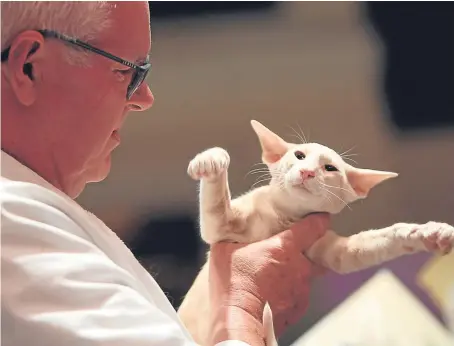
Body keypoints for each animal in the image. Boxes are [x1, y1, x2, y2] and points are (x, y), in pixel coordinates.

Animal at [178, 119, 454, 346]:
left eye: (330, 168)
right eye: (299, 155)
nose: (307, 171)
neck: (285, 218)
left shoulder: (331, 250)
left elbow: (377, 241)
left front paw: (425, 232)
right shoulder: (223, 225)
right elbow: (216, 204)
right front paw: (212, 159)